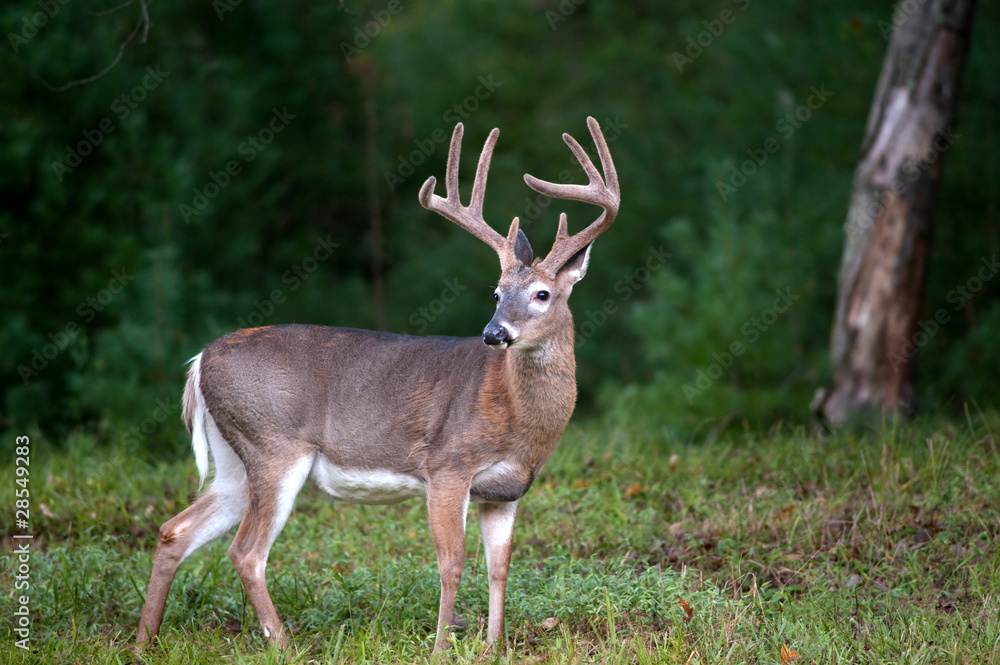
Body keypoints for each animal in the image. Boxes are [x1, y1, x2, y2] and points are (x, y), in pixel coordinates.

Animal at [135, 116, 619, 653]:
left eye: (542, 294)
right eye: (495, 293)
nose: (494, 333)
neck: (517, 418)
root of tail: (200, 361)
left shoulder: (505, 492)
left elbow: (500, 568)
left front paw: (493, 647)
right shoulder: (447, 465)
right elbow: (452, 564)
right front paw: (441, 649)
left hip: (234, 461)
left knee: (175, 530)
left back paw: (143, 641)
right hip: (273, 445)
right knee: (246, 551)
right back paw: (285, 645)